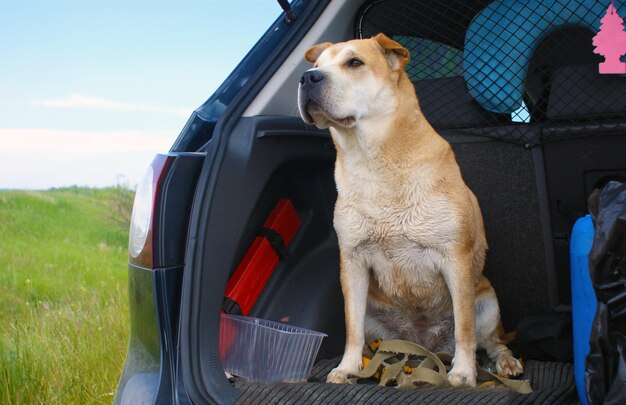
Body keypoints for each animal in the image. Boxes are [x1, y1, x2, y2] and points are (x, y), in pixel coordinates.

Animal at [294, 34, 520, 386]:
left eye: (354, 62)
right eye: (316, 66)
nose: (307, 78)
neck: (371, 160)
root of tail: (425, 344)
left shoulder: (455, 258)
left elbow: (465, 329)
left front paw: (464, 373)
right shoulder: (353, 261)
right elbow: (351, 328)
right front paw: (348, 367)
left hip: (487, 301)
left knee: (492, 341)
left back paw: (504, 363)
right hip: (377, 317)